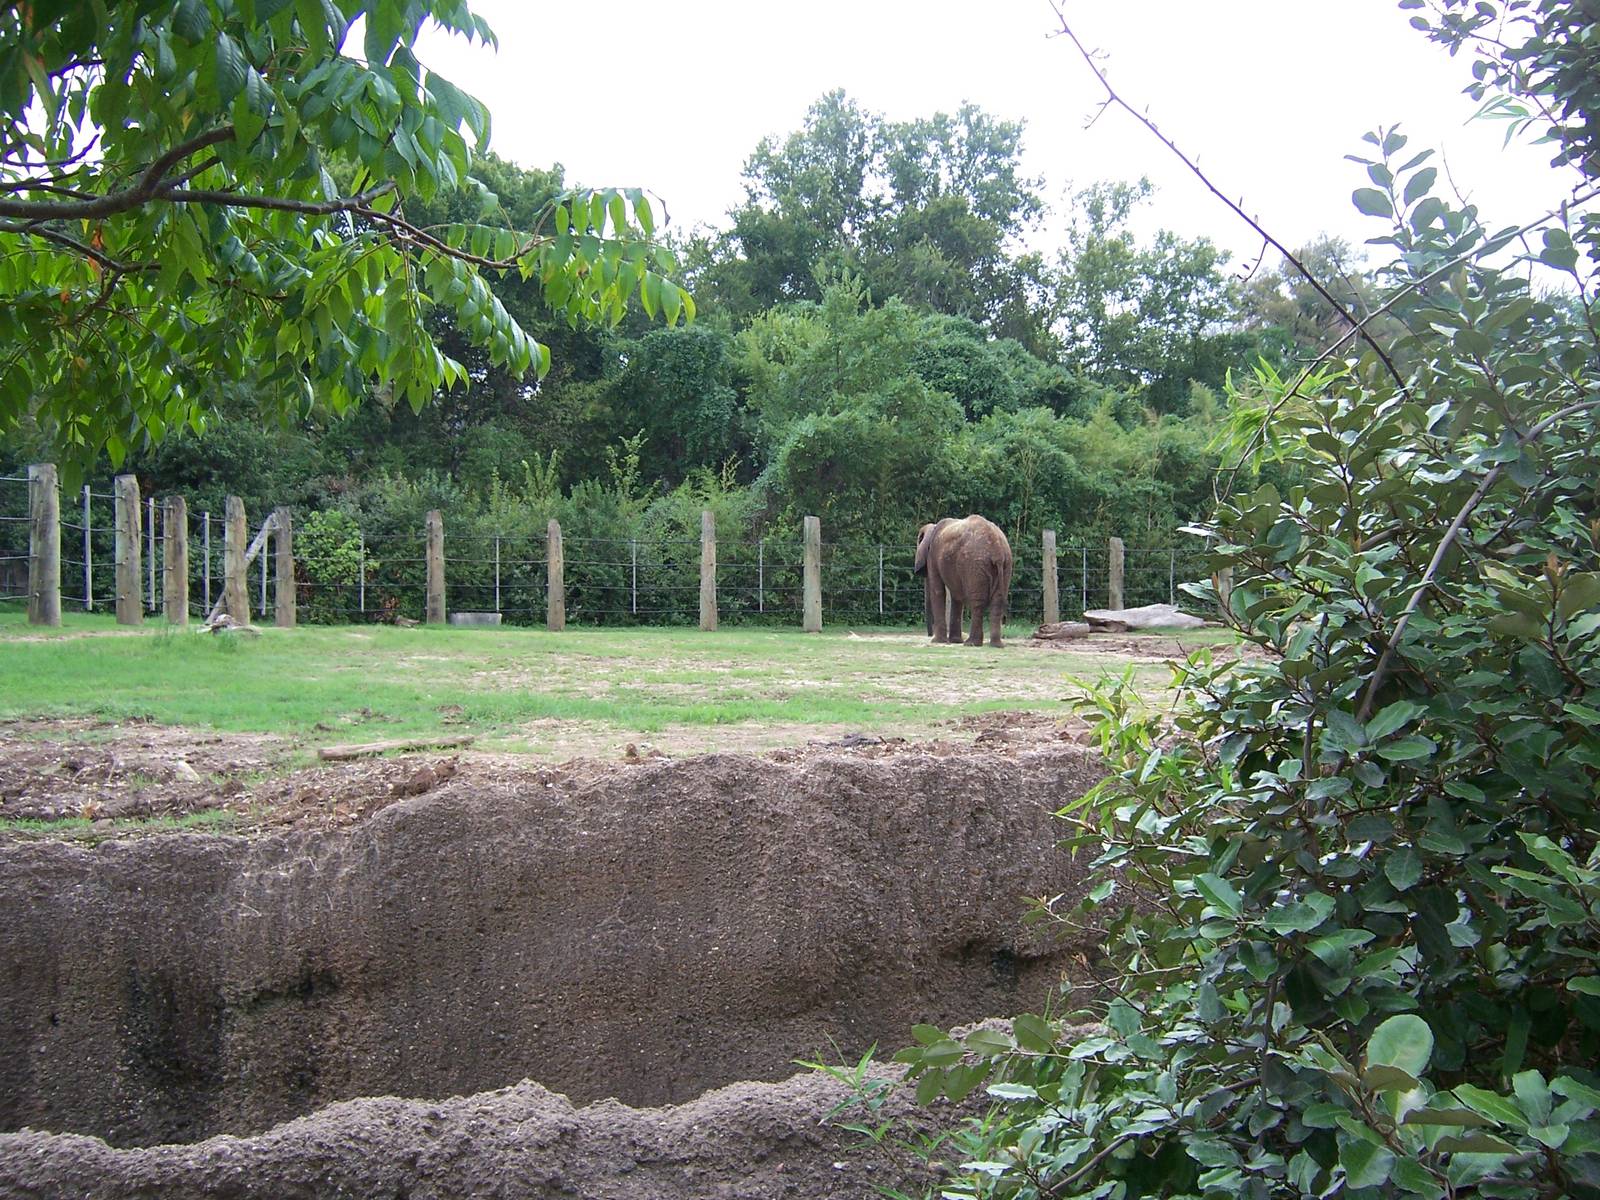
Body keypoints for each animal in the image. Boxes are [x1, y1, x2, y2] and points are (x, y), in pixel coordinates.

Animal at [913, 515, 1014, 647]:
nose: (930, 635)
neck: (933, 527)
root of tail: (997, 551)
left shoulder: (933, 556)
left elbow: (938, 591)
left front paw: (938, 641)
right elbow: (956, 595)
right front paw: (955, 641)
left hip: (975, 564)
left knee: (977, 603)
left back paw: (971, 643)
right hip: (1006, 565)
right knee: (997, 601)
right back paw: (996, 645)